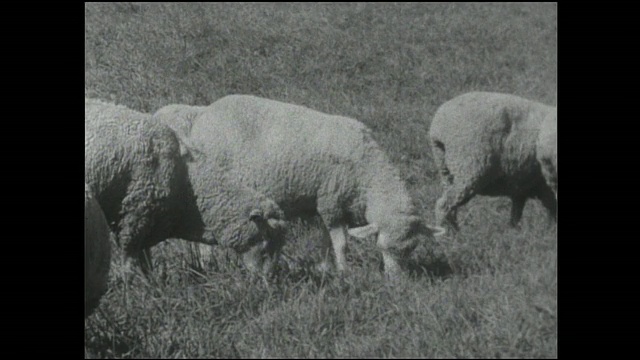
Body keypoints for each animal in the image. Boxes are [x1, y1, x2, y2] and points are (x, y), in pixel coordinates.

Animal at [155, 94, 444, 278]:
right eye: (382, 248)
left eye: (411, 249)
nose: (397, 283)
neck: (368, 173)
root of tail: (201, 115)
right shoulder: (331, 202)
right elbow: (341, 244)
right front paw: (344, 272)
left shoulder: (322, 204)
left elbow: (326, 242)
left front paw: (326, 269)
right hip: (214, 189)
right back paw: (209, 264)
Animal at [428, 90, 556, 231]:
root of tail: (439, 125)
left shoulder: (525, 184)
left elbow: (518, 212)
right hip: (470, 167)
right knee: (444, 204)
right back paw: (448, 233)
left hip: (446, 168)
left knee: (449, 201)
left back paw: (452, 229)